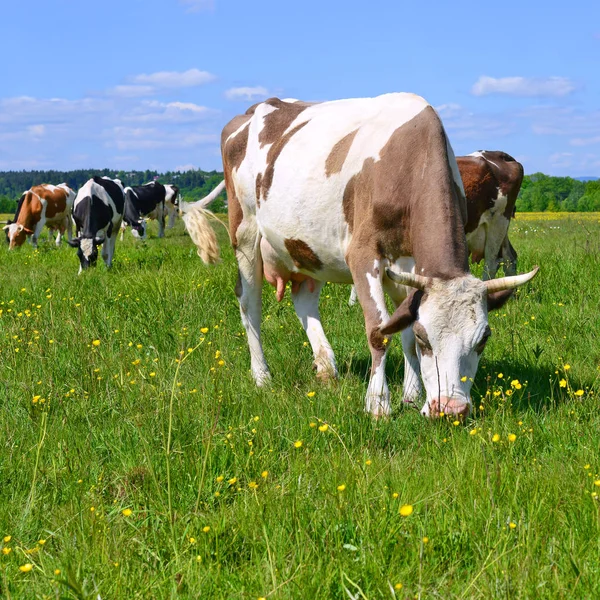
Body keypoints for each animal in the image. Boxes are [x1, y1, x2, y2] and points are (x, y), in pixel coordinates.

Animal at [184, 95, 540, 422]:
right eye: (426, 338)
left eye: (483, 339)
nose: (450, 410)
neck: (409, 162)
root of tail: (256, 107)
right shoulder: (363, 255)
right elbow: (380, 331)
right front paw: (378, 404)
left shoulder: (407, 267)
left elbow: (400, 329)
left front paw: (411, 396)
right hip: (244, 232)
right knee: (249, 303)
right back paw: (262, 375)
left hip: (307, 245)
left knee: (304, 300)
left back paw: (326, 367)